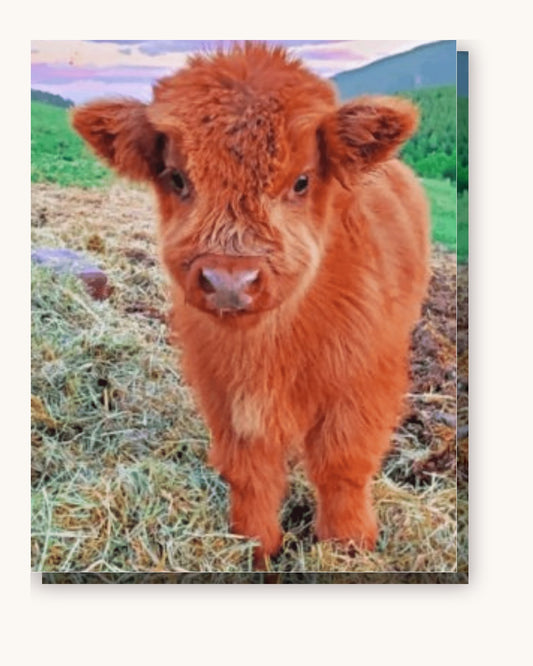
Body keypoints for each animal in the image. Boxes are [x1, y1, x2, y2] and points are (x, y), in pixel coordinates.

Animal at [72, 43, 430, 568]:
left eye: (301, 181)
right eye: (177, 178)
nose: (229, 281)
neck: (271, 347)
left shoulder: (363, 381)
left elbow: (343, 463)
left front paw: (347, 546)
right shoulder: (223, 388)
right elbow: (250, 470)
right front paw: (255, 547)